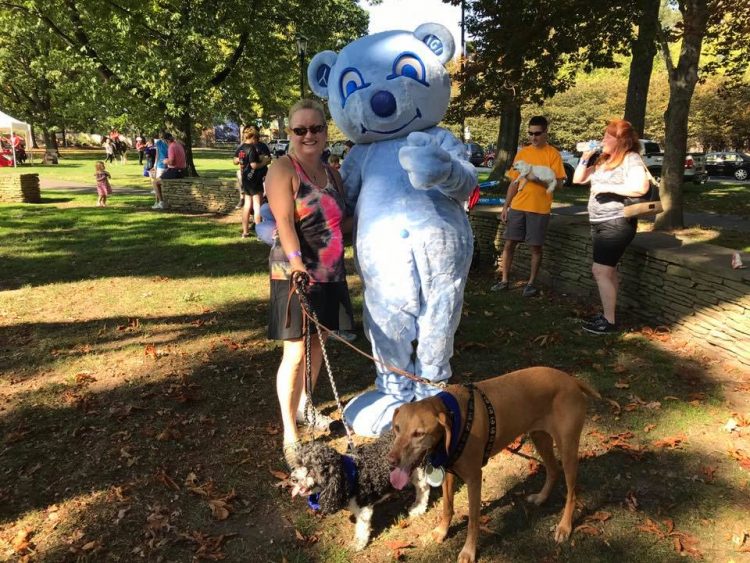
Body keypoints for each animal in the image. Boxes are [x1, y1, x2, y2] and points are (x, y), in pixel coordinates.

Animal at [290, 436, 428, 552]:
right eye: (298, 464)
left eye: (311, 469)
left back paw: (419, 508)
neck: (349, 474)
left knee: (423, 490)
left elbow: (361, 528)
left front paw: (358, 543)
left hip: (418, 470)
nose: (293, 479)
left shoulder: (363, 508)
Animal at [390, 368, 604, 560]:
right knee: (553, 469)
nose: (391, 460)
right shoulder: (448, 472)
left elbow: (473, 520)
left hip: (567, 448)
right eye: (397, 428)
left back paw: (564, 527)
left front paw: (468, 551)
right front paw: (442, 531)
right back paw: (541, 497)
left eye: (419, 433)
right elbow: (447, 507)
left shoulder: (474, 478)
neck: (454, 417)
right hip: (540, 437)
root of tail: (571, 380)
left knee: (572, 493)